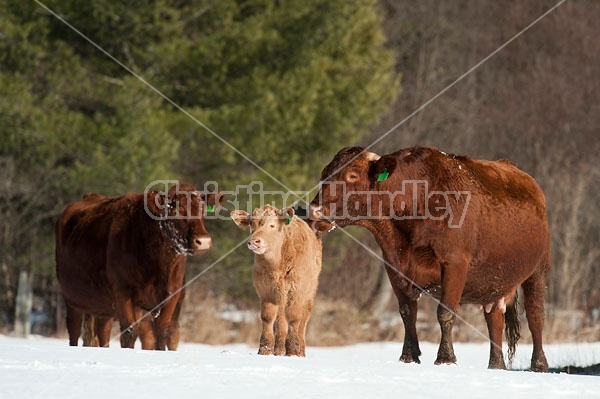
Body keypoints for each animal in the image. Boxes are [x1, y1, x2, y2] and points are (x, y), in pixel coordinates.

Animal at [55, 184, 220, 350]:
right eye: (176, 211)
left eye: (203, 210)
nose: (203, 241)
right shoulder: (123, 291)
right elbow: (129, 332)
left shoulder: (172, 294)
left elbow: (162, 331)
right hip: (71, 300)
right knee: (74, 332)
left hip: (104, 308)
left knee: (103, 332)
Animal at [231, 206, 324, 356]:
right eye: (251, 224)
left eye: (272, 225)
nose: (254, 241)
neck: (276, 265)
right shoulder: (265, 291)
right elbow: (267, 317)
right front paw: (264, 349)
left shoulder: (297, 290)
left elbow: (294, 317)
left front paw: (293, 350)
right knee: (281, 320)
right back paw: (279, 349)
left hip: (309, 293)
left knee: (303, 321)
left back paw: (301, 350)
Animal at [312, 147, 552, 372]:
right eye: (324, 173)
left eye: (352, 175)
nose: (314, 210)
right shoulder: (394, 266)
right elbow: (407, 312)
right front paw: (408, 356)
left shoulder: (455, 264)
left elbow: (445, 312)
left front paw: (446, 358)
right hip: (494, 283)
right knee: (494, 320)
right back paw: (496, 365)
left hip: (538, 270)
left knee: (535, 316)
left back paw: (539, 364)